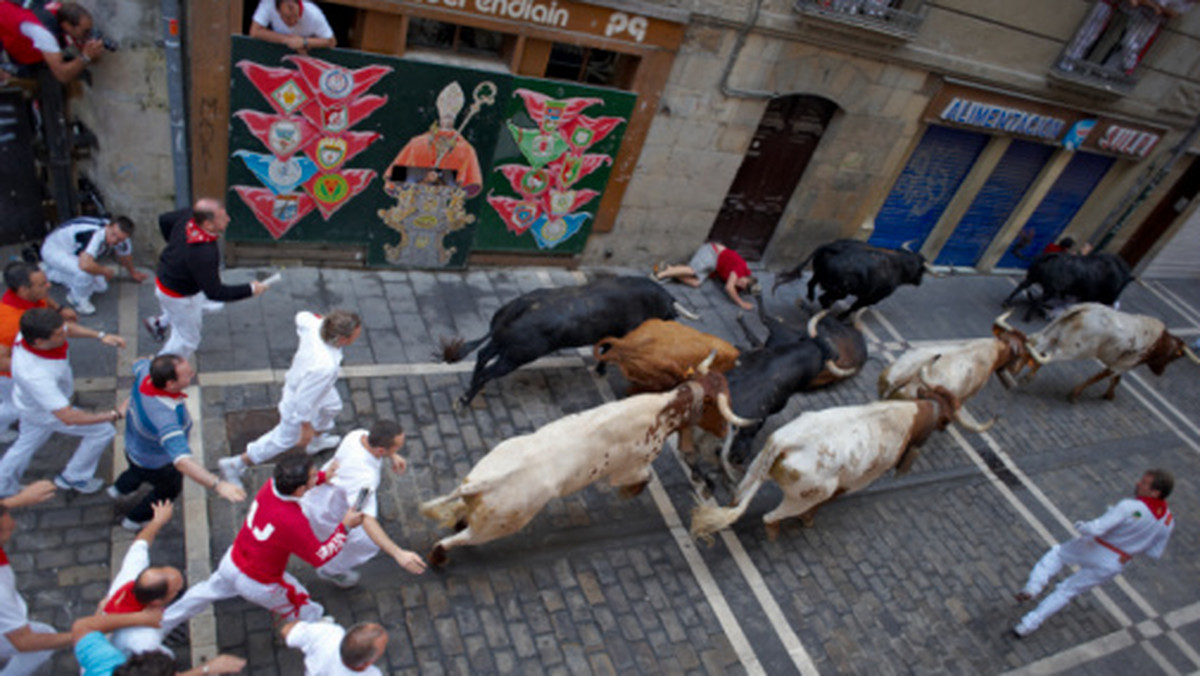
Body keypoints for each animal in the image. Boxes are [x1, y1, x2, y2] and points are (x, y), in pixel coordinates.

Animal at [417, 357, 744, 569]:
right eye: (719, 403)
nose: (725, 433)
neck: (663, 411)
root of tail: (488, 481)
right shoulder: (629, 469)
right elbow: (644, 478)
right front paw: (629, 494)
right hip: (497, 527)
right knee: (458, 539)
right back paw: (438, 557)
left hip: (479, 499)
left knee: (461, 517)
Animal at [446, 274, 700, 408]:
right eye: (670, 313)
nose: (672, 323)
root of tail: (521, 304)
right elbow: (610, 351)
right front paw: (601, 370)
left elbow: (605, 350)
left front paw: (600, 369)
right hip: (516, 356)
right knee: (489, 371)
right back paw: (467, 399)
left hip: (502, 344)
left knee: (482, 357)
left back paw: (469, 390)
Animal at [1003, 252, 1132, 321]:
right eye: (1121, 286)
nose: (1113, 302)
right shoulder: (1087, 297)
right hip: (1050, 290)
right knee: (1037, 300)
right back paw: (1027, 318)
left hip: (1032, 277)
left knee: (1021, 286)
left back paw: (1007, 302)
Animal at [1022, 302, 1200, 401]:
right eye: (1175, 356)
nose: (1160, 373)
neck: (1158, 342)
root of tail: (1087, 308)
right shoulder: (1122, 365)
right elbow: (1100, 377)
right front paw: (1075, 394)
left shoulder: (1120, 365)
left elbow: (1115, 379)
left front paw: (1109, 395)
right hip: (1072, 349)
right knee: (1045, 357)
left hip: (1052, 334)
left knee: (1036, 347)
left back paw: (1025, 375)